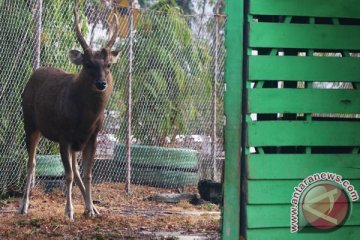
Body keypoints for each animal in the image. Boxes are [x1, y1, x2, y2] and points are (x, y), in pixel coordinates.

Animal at [19, 0, 120, 220]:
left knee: (75, 167)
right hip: (30, 123)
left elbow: (87, 174)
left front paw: (90, 208)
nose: (101, 84)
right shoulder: (63, 134)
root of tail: (34, 74)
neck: (86, 118)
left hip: (73, 142)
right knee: (32, 163)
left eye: (108, 65)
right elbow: (67, 175)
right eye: (88, 64)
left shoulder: (92, 136)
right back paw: (23, 206)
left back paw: (94, 209)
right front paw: (69, 211)